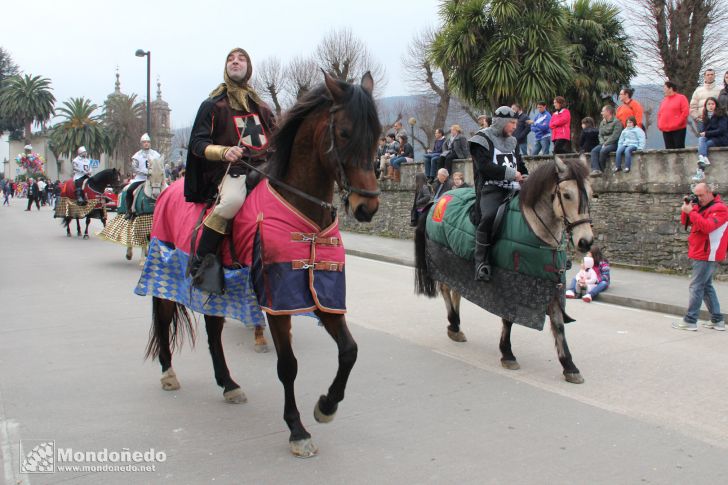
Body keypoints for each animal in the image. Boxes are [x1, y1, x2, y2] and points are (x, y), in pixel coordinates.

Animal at [139, 70, 384, 456]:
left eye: (377, 133)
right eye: (344, 132)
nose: (366, 207)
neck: (303, 210)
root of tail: (166, 190)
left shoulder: (322, 293)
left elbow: (349, 351)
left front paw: (326, 406)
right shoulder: (278, 303)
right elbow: (288, 365)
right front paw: (297, 429)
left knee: (213, 332)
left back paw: (228, 384)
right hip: (165, 269)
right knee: (164, 318)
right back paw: (168, 373)